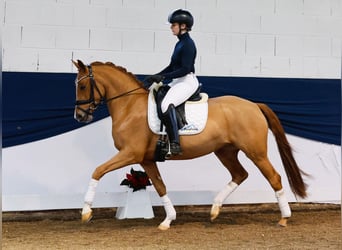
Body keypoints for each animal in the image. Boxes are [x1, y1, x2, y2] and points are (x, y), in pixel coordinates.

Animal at [73, 60, 308, 230]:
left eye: (82, 85)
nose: (79, 116)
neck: (130, 107)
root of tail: (254, 105)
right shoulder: (146, 159)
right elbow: (160, 186)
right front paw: (168, 220)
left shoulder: (130, 153)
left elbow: (97, 171)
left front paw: (86, 212)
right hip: (225, 151)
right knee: (240, 174)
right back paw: (214, 210)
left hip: (256, 152)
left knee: (274, 177)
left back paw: (284, 218)